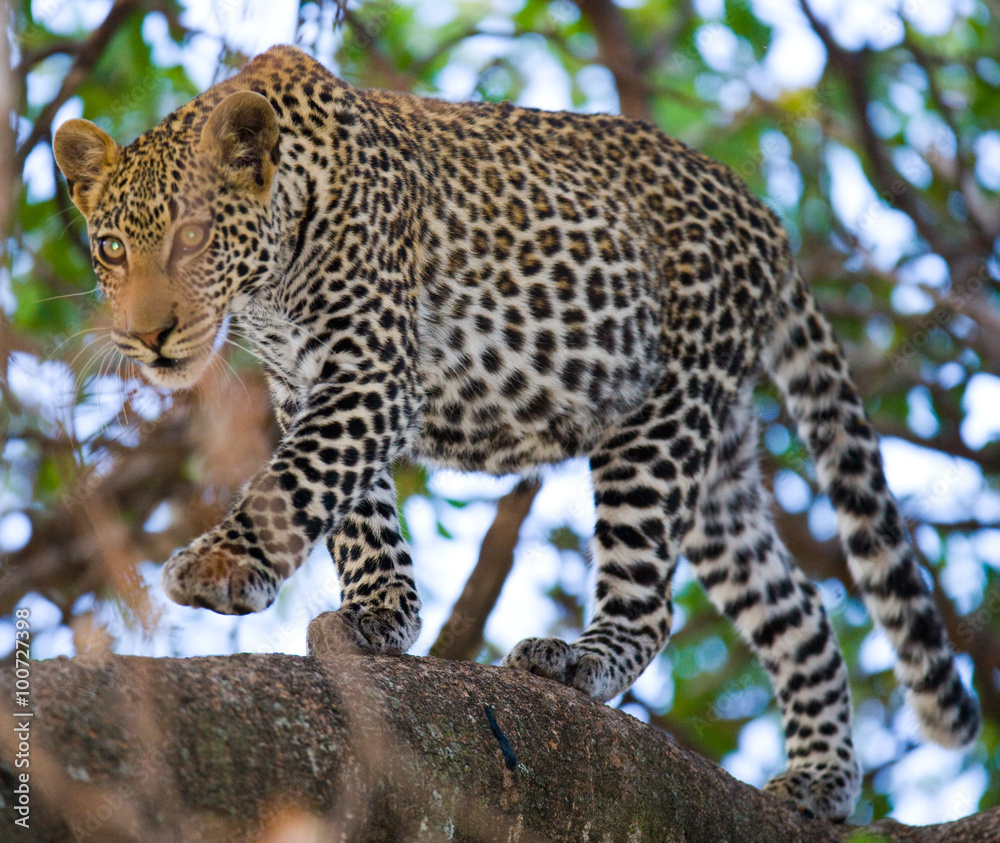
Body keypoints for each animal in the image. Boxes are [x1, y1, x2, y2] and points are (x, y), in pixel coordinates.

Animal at [50, 42, 980, 820]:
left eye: (195, 236)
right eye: (109, 248)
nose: (148, 337)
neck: (269, 283)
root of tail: (766, 218)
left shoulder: (369, 370)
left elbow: (301, 478)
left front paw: (222, 565)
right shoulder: (308, 381)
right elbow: (357, 513)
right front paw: (382, 613)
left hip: (660, 415)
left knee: (653, 602)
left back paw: (580, 658)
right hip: (717, 456)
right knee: (800, 605)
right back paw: (823, 776)